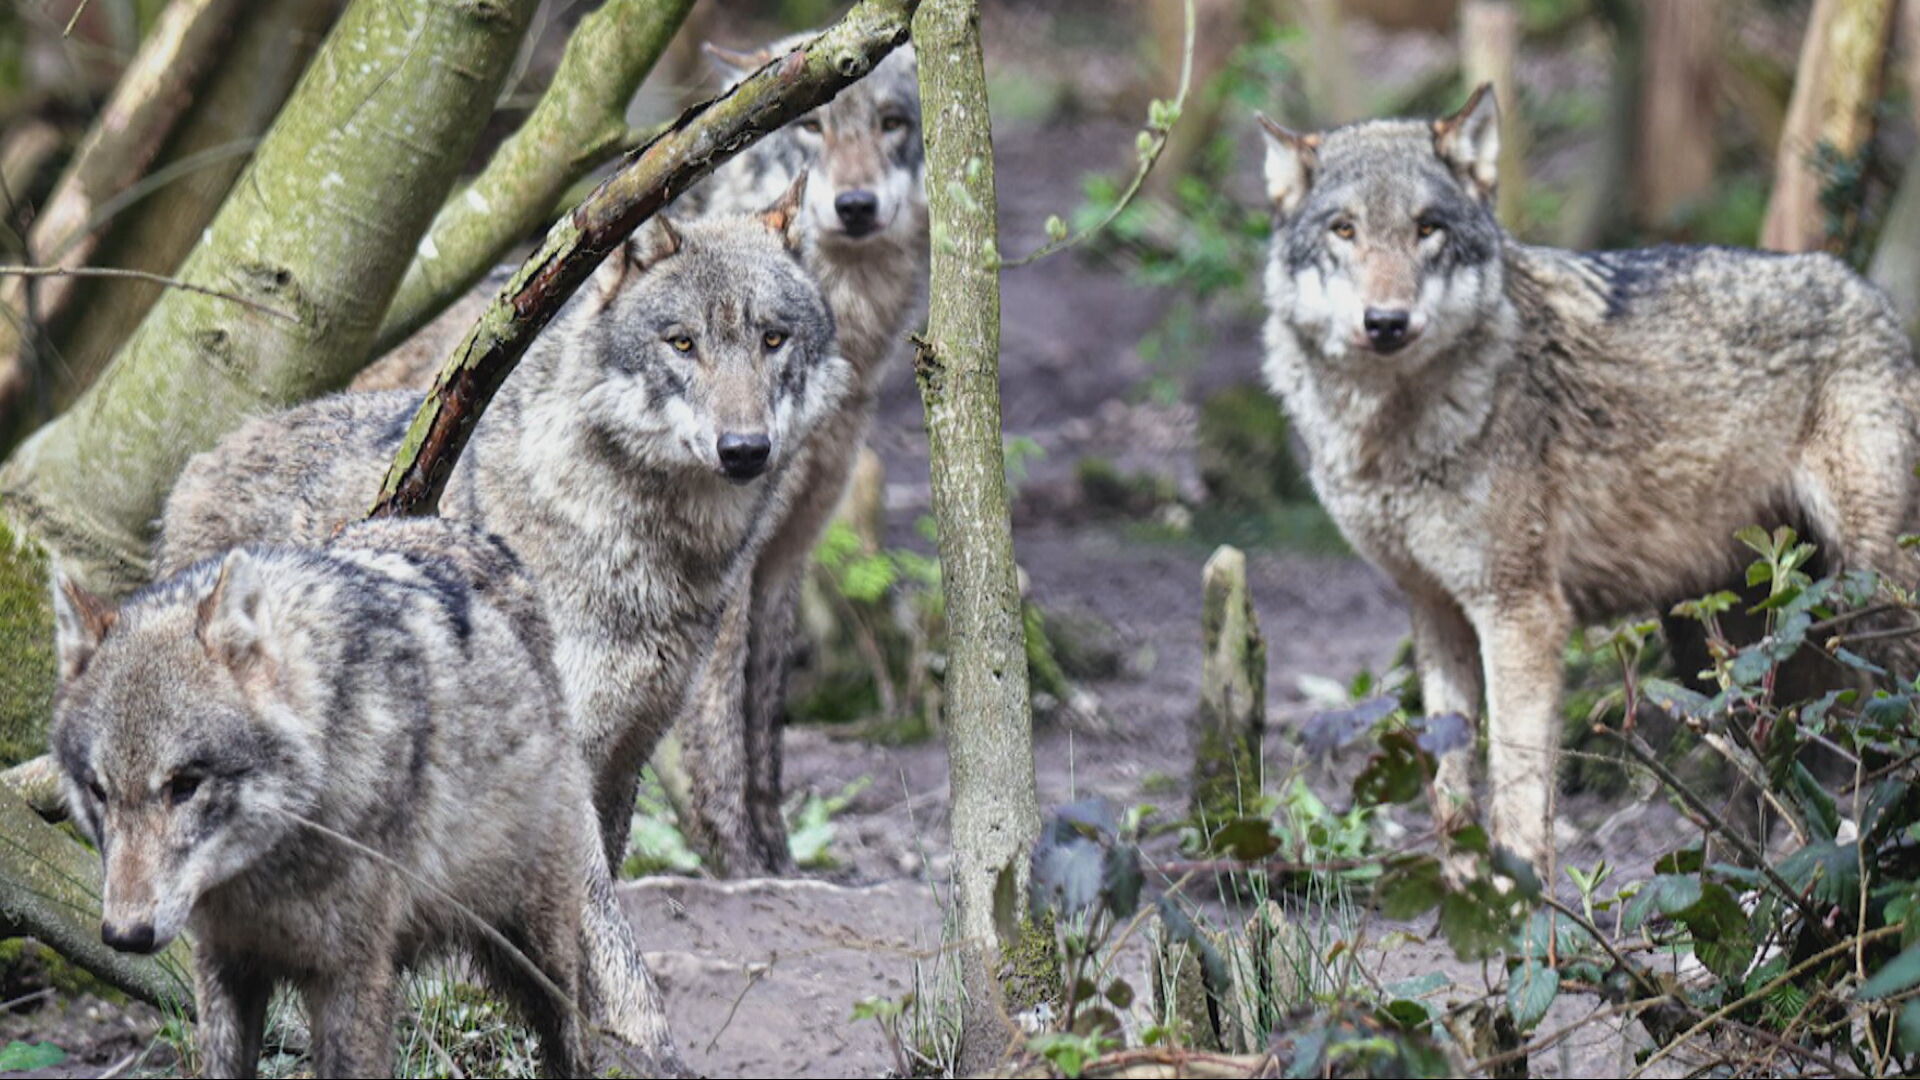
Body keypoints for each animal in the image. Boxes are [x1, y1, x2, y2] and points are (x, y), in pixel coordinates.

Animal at [51, 518, 661, 1078]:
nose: (125, 935)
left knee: (574, 1043)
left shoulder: (351, 973)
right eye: (99, 791)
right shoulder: (226, 964)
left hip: (538, 949)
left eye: (183, 784)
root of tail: (470, 530)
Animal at [1256, 86, 1920, 876]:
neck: (1394, 431)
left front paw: (1517, 896)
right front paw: (1459, 891)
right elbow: (1451, 790)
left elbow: (1517, 790)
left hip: (1870, 592)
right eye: (1344, 229)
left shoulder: (1521, 611)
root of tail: (1872, 294)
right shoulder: (1436, 609)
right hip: (1719, 640)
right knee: (1773, 772)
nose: (1386, 321)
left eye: (1427, 229)